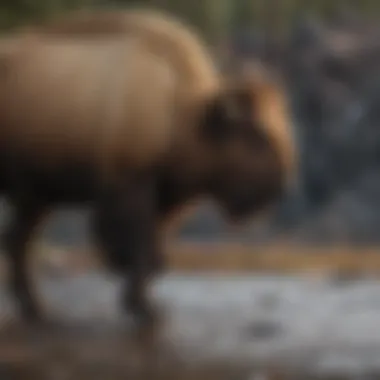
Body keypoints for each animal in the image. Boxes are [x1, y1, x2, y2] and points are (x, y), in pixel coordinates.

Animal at [0, 10, 296, 328]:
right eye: (257, 135)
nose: (280, 186)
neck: (181, 111)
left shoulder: (166, 201)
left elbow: (153, 252)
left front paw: (145, 305)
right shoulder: (130, 188)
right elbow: (139, 248)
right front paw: (145, 309)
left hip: (35, 199)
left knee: (18, 241)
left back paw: (36, 308)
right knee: (19, 241)